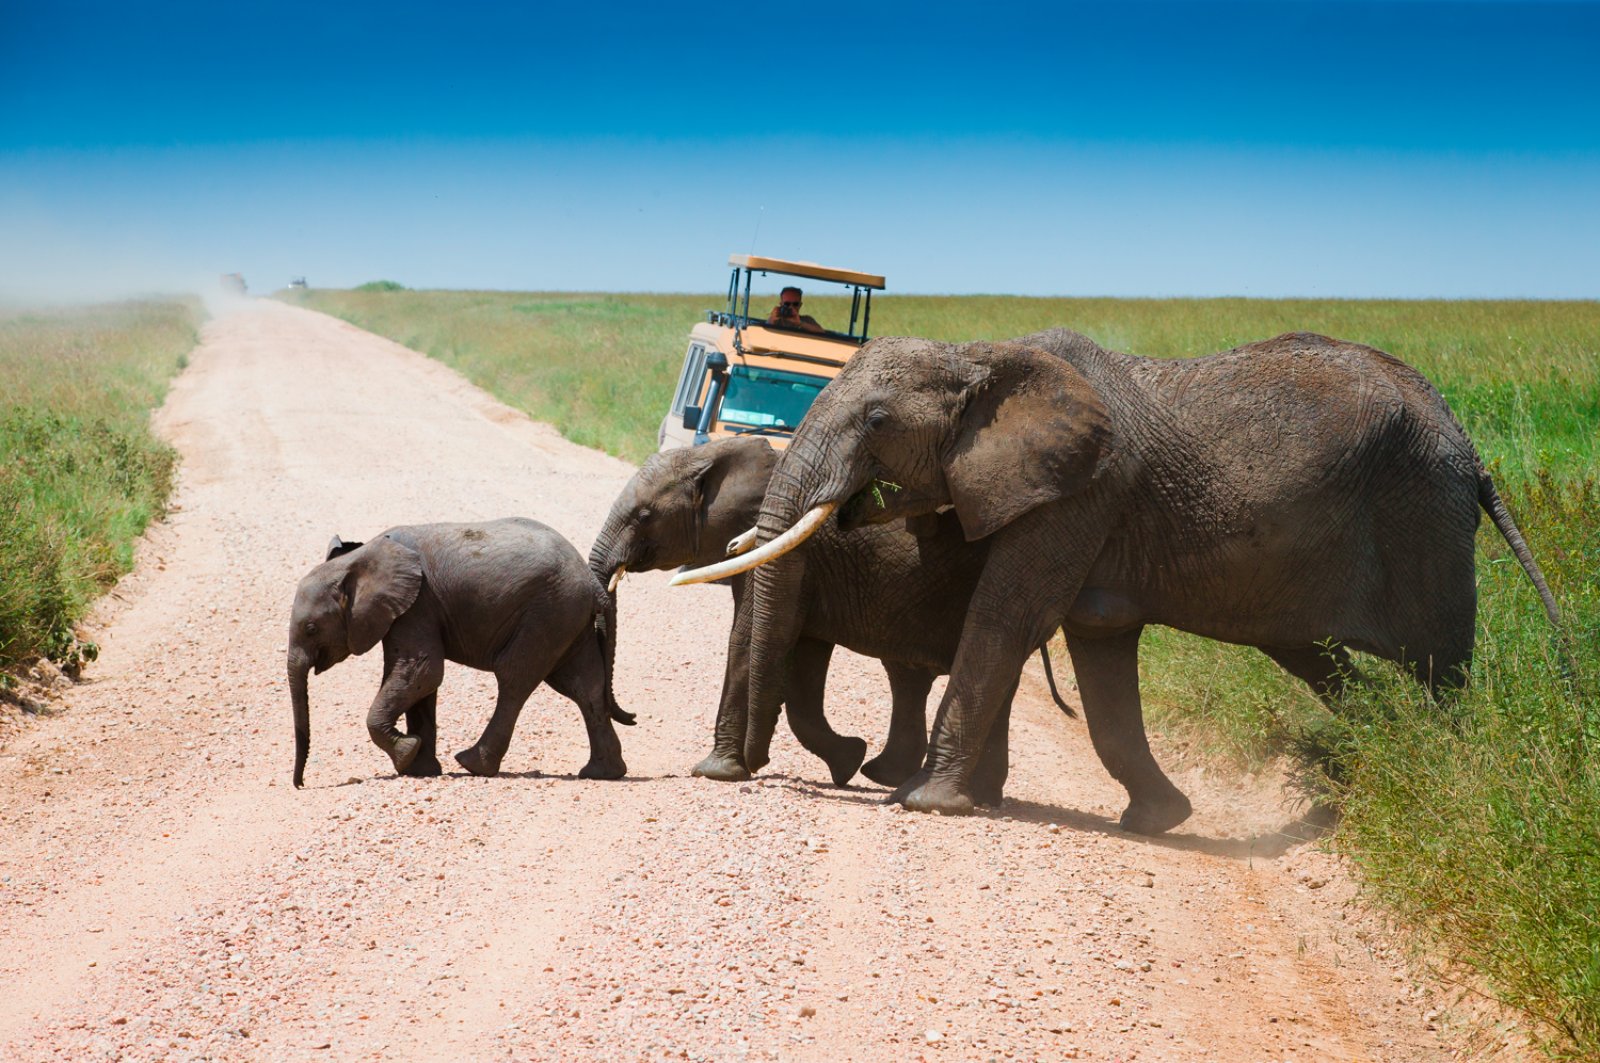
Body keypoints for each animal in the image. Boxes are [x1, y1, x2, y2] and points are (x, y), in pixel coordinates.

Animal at [288, 518, 630, 784]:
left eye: (311, 629)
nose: (301, 784)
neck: (358, 558)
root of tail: (593, 582)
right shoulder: (405, 610)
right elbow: (418, 683)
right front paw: (419, 768)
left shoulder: (418, 604)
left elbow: (424, 672)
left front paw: (407, 754)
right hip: (568, 618)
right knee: (584, 686)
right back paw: (603, 773)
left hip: (547, 614)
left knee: (515, 680)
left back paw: (472, 764)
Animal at [592, 435, 1075, 797]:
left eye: (644, 515)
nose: (632, 716)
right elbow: (802, 661)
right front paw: (847, 762)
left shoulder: (786, 555)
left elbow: (750, 642)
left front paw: (716, 772)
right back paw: (905, 779)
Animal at [675, 329, 1561, 832]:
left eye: (877, 421)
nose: (728, 773)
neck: (982, 354)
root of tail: (1469, 444)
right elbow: (1100, 654)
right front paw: (1158, 820)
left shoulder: (1082, 489)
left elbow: (1008, 617)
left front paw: (925, 804)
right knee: (1324, 662)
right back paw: (1364, 766)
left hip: (1422, 517)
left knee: (1441, 670)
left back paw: (1438, 774)